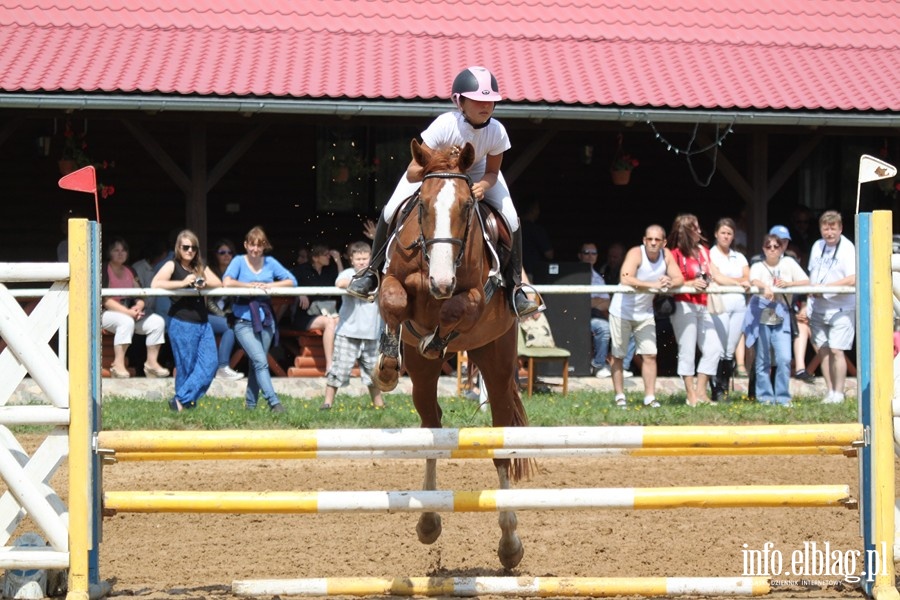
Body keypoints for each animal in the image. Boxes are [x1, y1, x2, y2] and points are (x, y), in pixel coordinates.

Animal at [376, 138, 532, 568]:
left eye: (465, 207)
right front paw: (388, 363)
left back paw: (510, 543)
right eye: (423, 206)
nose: (442, 281)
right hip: (422, 379)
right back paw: (429, 522)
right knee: (431, 427)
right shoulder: (394, 279)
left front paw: (438, 335)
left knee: (500, 446)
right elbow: (395, 300)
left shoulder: (476, 297)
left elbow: (454, 310)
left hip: (496, 361)